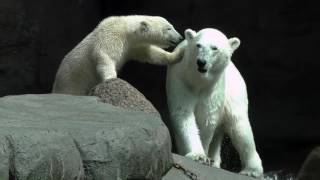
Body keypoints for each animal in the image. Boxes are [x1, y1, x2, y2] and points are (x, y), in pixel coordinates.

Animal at [52, 15, 182, 95]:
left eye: (172, 26)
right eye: (168, 28)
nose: (180, 38)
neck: (126, 30)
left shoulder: (133, 46)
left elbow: (151, 54)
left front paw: (177, 55)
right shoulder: (110, 36)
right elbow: (105, 57)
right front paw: (112, 78)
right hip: (70, 83)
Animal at [166, 28, 264, 177]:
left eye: (215, 48)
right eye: (198, 45)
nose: (201, 62)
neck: (198, 81)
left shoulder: (213, 89)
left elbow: (206, 119)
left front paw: (202, 155)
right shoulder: (181, 81)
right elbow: (183, 114)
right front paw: (198, 156)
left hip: (234, 93)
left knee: (239, 127)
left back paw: (251, 170)